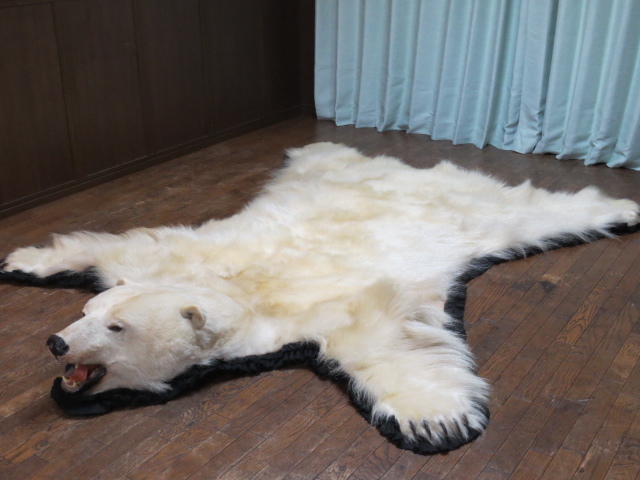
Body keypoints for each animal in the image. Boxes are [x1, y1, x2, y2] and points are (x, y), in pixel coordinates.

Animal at [1, 142, 638, 453]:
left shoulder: (341, 305)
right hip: (324, 174)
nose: (56, 342)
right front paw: (21, 259)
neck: (237, 291)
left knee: (550, 210)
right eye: (89, 313)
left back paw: (623, 208)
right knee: (324, 152)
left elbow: (388, 341)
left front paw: (435, 419)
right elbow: (117, 244)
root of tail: (426, 171)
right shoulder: (174, 256)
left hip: (491, 219)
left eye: (117, 329)